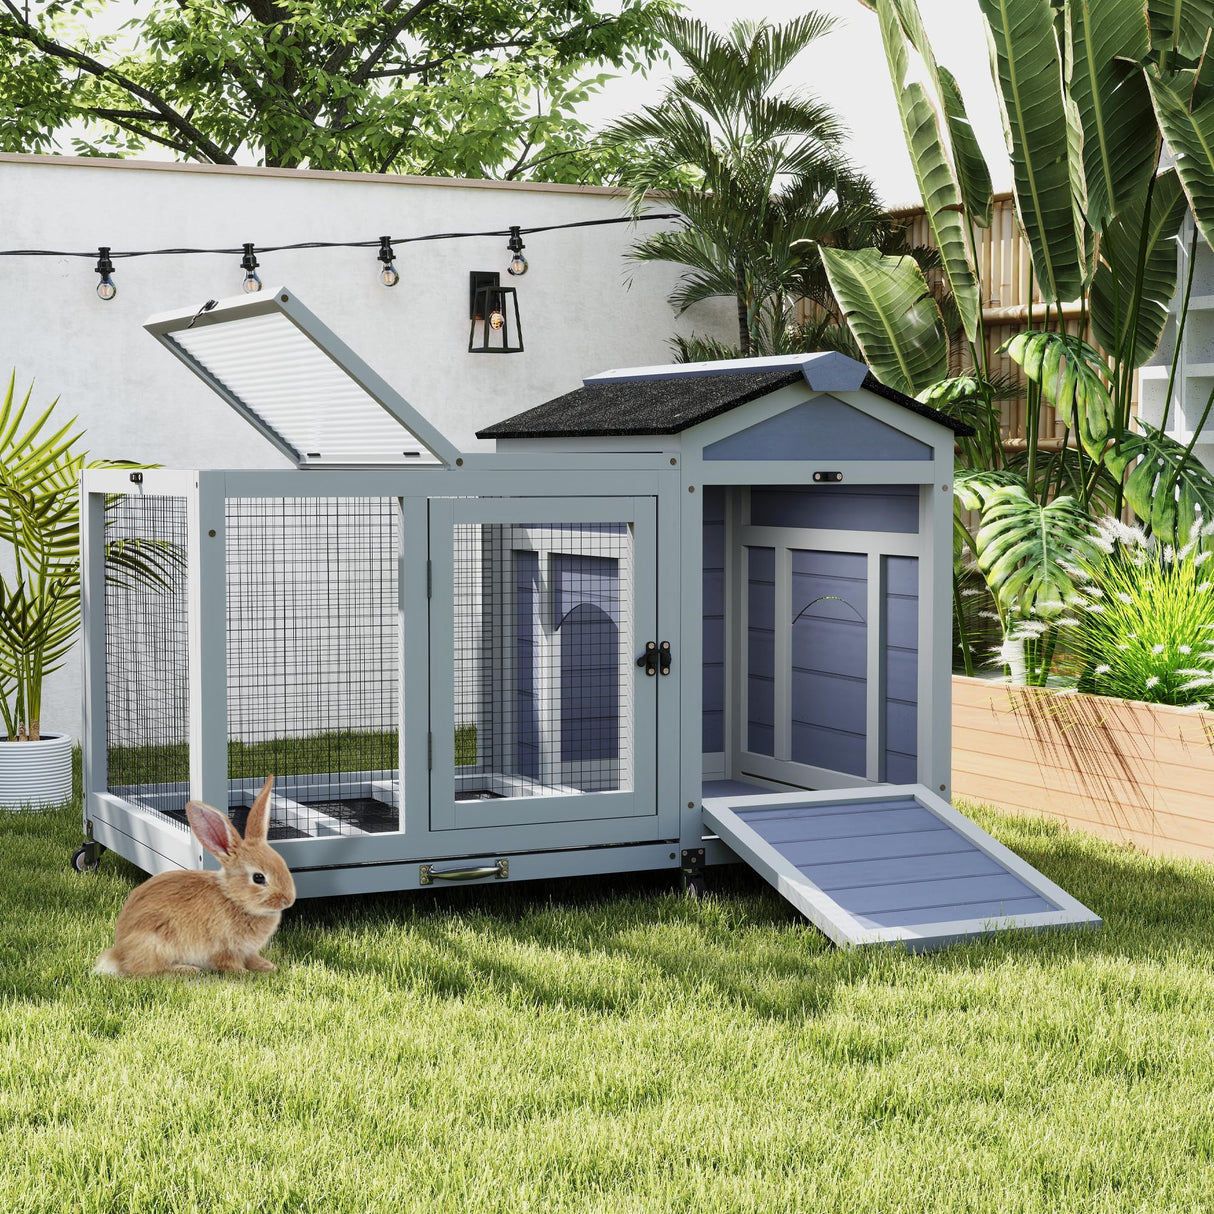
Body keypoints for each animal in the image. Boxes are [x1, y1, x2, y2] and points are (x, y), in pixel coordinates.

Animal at [95, 774, 295, 976]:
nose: (288, 900)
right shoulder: (224, 948)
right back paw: (186, 969)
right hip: (157, 942)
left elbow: (253, 959)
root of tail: (119, 954)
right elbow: (228, 963)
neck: (233, 898)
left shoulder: (248, 951)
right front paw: (244, 973)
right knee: (145, 970)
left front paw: (267, 966)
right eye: (258, 878)